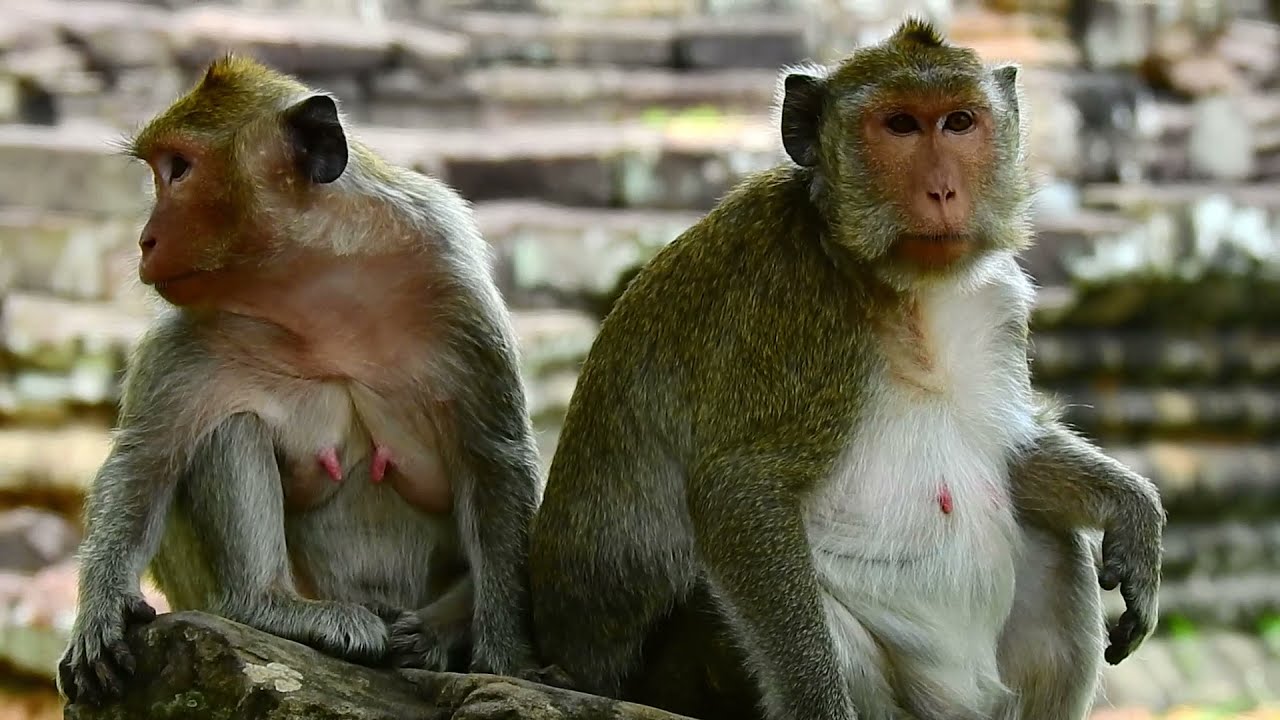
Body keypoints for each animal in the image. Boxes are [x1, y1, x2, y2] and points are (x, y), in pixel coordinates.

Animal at [55, 54, 542, 706]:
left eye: (178, 169)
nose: (145, 240)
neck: (316, 291)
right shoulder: (188, 337)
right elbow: (144, 461)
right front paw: (100, 611)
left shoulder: (454, 289)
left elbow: (496, 461)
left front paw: (507, 660)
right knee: (229, 426)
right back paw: (267, 606)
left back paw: (432, 632)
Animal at [526, 18, 1165, 720]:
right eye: (901, 126)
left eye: (959, 122)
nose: (943, 191)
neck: (899, 286)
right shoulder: (788, 300)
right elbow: (741, 492)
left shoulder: (993, 299)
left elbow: (1012, 454)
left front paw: (1133, 509)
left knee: (1055, 542)